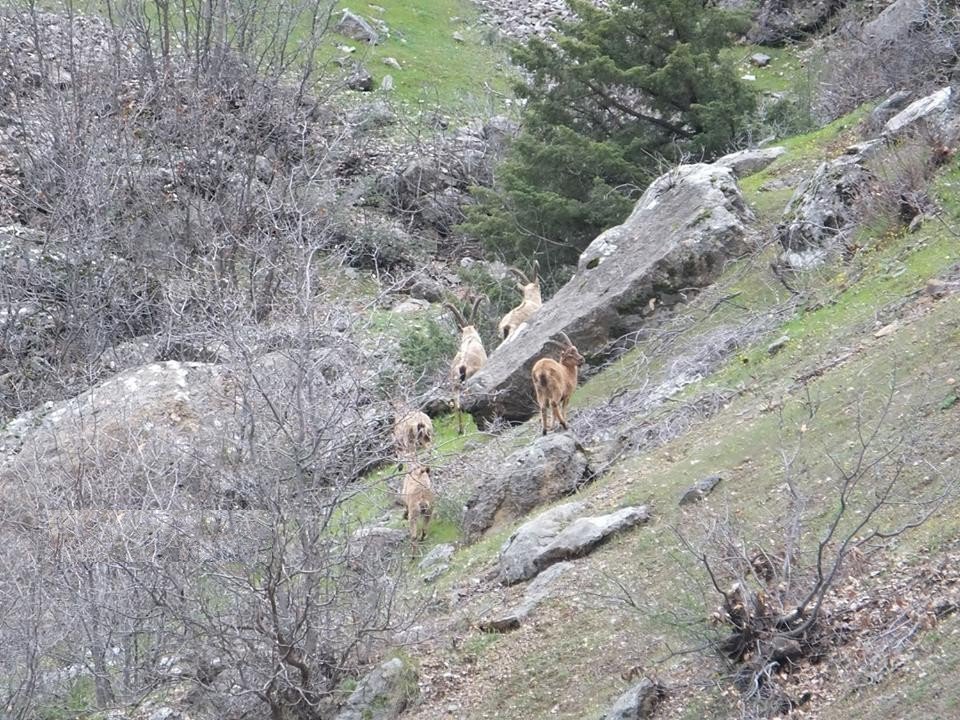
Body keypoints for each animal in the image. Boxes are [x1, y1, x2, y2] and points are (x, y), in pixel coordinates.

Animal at [444, 296, 488, 436]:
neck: (470, 338)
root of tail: (462, 366)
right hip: (468, 381)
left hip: (454, 384)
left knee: (457, 405)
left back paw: (460, 430)